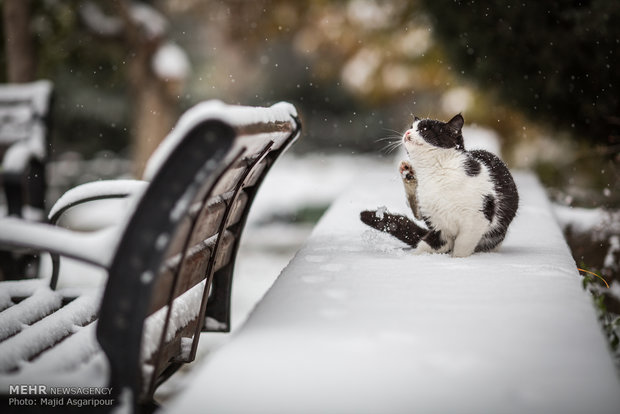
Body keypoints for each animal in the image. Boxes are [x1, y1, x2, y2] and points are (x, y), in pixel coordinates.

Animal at [360, 113, 520, 256]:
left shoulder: (477, 219)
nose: (407, 132)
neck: (435, 174)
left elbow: (462, 247)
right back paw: (408, 174)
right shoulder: (438, 226)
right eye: (411, 127)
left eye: (424, 129)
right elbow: (429, 244)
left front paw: (457, 260)